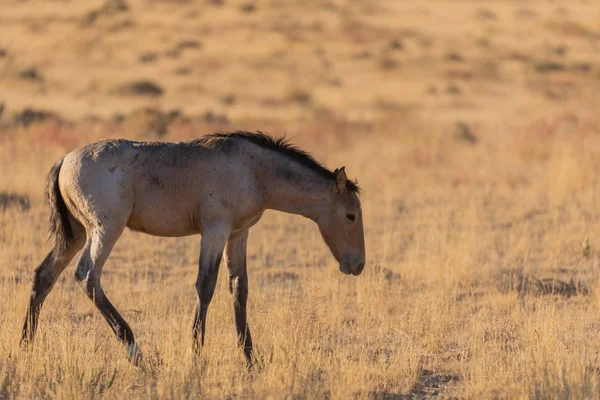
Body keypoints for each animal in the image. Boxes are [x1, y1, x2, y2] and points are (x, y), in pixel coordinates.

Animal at [19, 131, 366, 366]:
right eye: (351, 215)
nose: (357, 264)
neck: (254, 170)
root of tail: (64, 160)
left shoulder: (238, 234)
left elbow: (239, 288)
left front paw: (249, 357)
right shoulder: (214, 231)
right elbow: (206, 285)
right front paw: (196, 354)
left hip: (76, 235)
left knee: (44, 276)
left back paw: (25, 346)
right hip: (104, 231)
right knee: (88, 277)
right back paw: (135, 351)